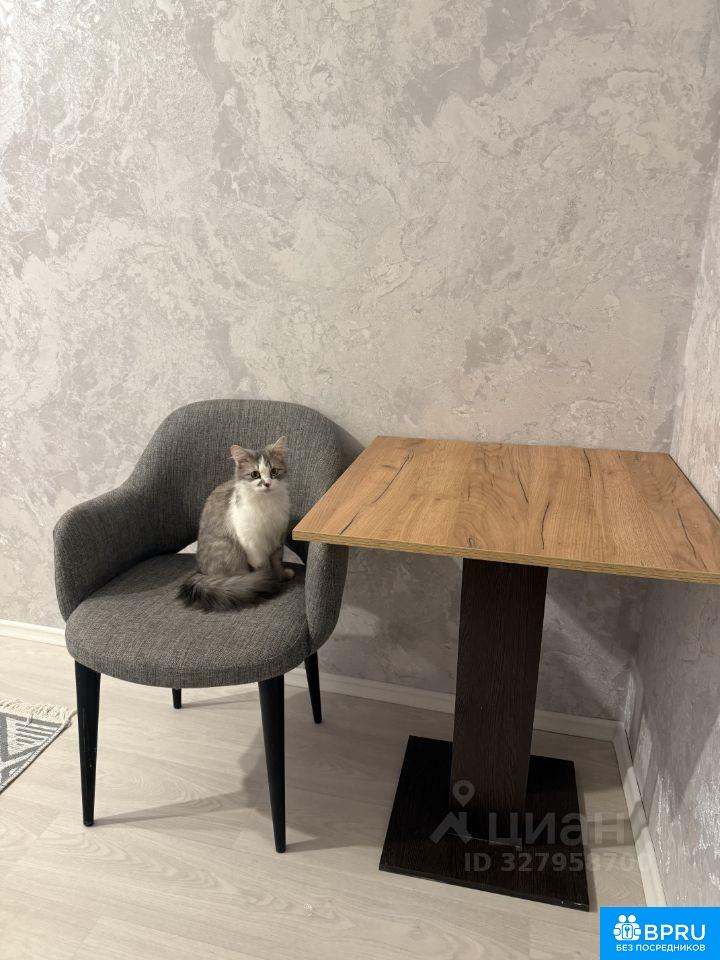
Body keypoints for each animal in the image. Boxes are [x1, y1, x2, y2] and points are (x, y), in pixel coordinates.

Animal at [177, 436, 295, 611]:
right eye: (255, 474)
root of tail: (202, 573)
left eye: (273, 472)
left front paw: (282, 576)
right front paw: (270, 580)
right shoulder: (253, 544)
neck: (267, 504)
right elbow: (265, 567)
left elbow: (277, 562)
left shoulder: (278, 537)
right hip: (230, 548)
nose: (267, 484)